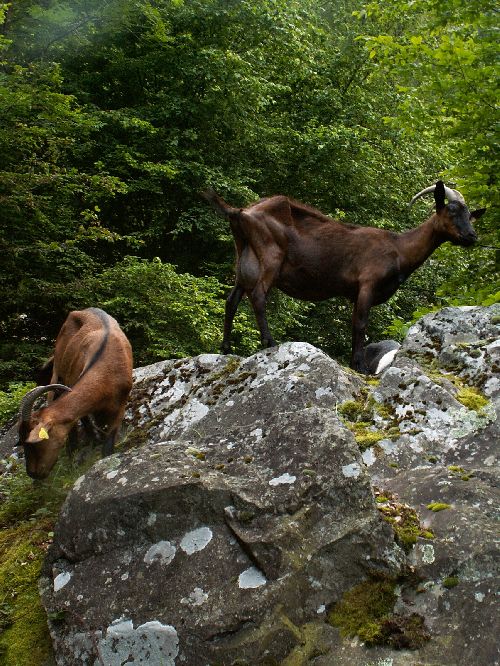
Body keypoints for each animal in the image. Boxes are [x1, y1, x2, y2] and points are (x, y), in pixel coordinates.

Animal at [18, 306, 133, 478]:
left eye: (32, 444)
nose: (33, 473)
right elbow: (82, 418)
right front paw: (91, 441)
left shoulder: (120, 406)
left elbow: (108, 445)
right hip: (58, 367)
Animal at [202, 180, 484, 374]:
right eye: (452, 211)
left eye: (470, 214)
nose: (472, 236)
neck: (399, 248)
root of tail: (240, 212)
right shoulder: (367, 284)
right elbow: (360, 324)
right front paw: (359, 366)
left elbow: (353, 325)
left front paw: (353, 362)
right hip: (270, 258)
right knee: (258, 295)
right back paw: (269, 342)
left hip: (244, 261)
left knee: (232, 300)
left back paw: (225, 348)